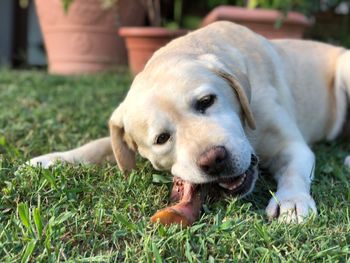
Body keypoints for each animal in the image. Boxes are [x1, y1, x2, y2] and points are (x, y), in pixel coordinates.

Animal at [28, 22, 350, 224]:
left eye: (206, 101)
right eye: (161, 139)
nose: (214, 160)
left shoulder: (291, 146)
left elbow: (294, 171)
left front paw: (291, 202)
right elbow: (98, 145)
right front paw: (52, 159)